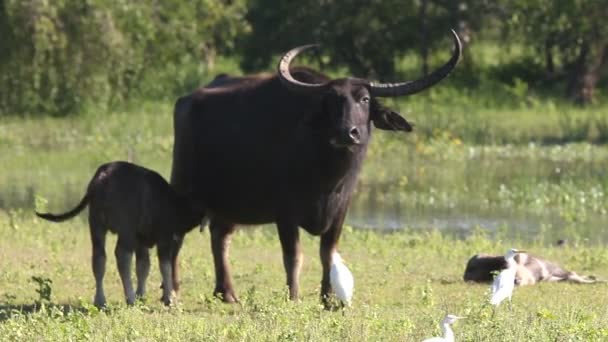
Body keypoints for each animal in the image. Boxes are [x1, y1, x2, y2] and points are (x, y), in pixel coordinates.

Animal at [36, 162, 204, 306]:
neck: (175, 204)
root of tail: (102, 178)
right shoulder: (164, 238)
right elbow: (165, 266)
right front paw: (168, 298)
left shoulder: (141, 240)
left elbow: (143, 266)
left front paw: (141, 295)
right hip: (126, 230)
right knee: (122, 256)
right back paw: (129, 297)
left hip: (96, 224)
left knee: (99, 257)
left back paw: (100, 300)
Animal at [170, 31, 460, 304]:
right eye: (331, 101)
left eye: (365, 99)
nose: (347, 133)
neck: (326, 176)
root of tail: (186, 100)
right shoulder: (285, 212)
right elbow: (293, 256)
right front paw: (294, 296)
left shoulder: (341, 209)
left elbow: (328, 254)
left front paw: (329, 298)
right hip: (183, 190)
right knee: (175, 235)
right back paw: (172, 293)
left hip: (228, 203)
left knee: (220, 236)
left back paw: (227, 293)